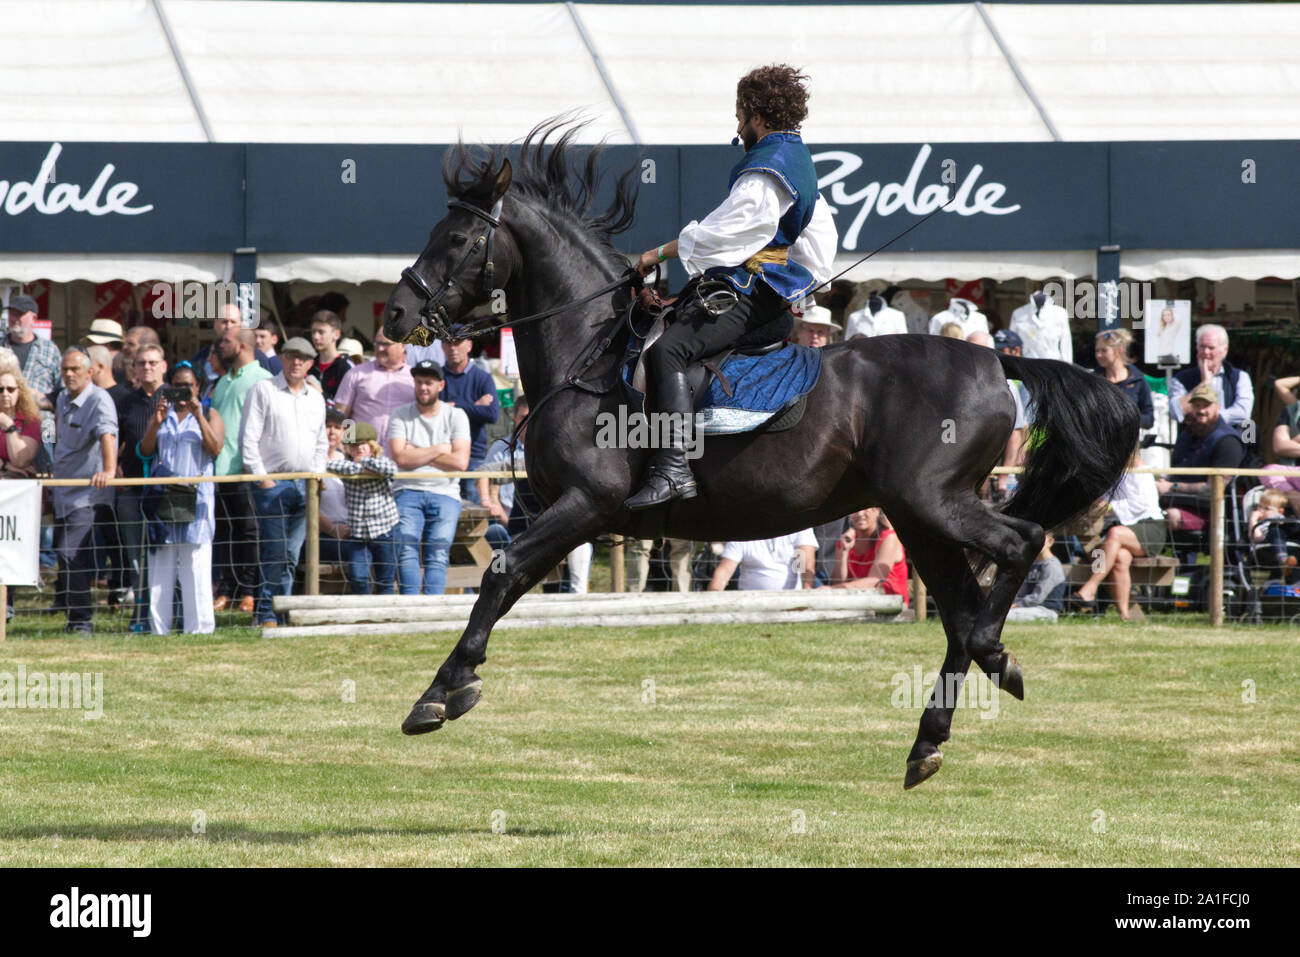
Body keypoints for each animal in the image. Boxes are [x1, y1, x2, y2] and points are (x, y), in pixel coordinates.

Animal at [379, 125, 1133, 785]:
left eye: (458, 238)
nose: (395, 314)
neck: (588, 354)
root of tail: (996, 360)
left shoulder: (584, 505)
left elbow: (500, 576)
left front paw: (440, 692)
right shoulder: (559, 510)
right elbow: (504, 573)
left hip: (932, 502)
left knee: (1020, 543)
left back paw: (989, 658)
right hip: (919, 517)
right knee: (960, 610)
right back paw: (937, 728)